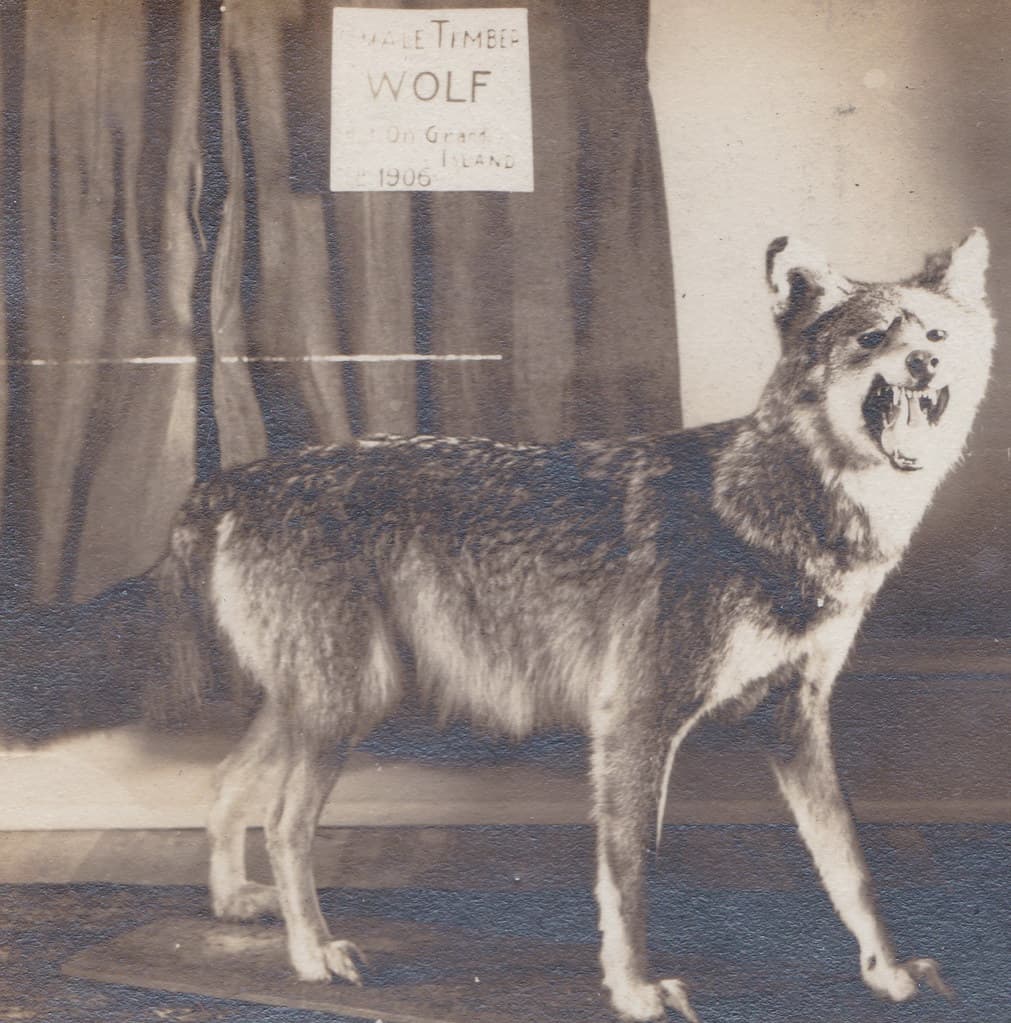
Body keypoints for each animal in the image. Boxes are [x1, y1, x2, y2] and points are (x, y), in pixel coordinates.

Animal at [6, 230, 993, 1022]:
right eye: (872, 337)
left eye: (935, 336)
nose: (923, 368)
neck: (770, 510)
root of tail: (231, 478)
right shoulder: (633, 725)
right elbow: (629, 874)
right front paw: (635, 990)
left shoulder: (796, 723)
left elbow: (850, 862)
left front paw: (888, 972)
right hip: (343, 707)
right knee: (285, 824)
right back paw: (310, 955)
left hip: (313, 702)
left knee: (223, 786)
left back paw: (235, 905)